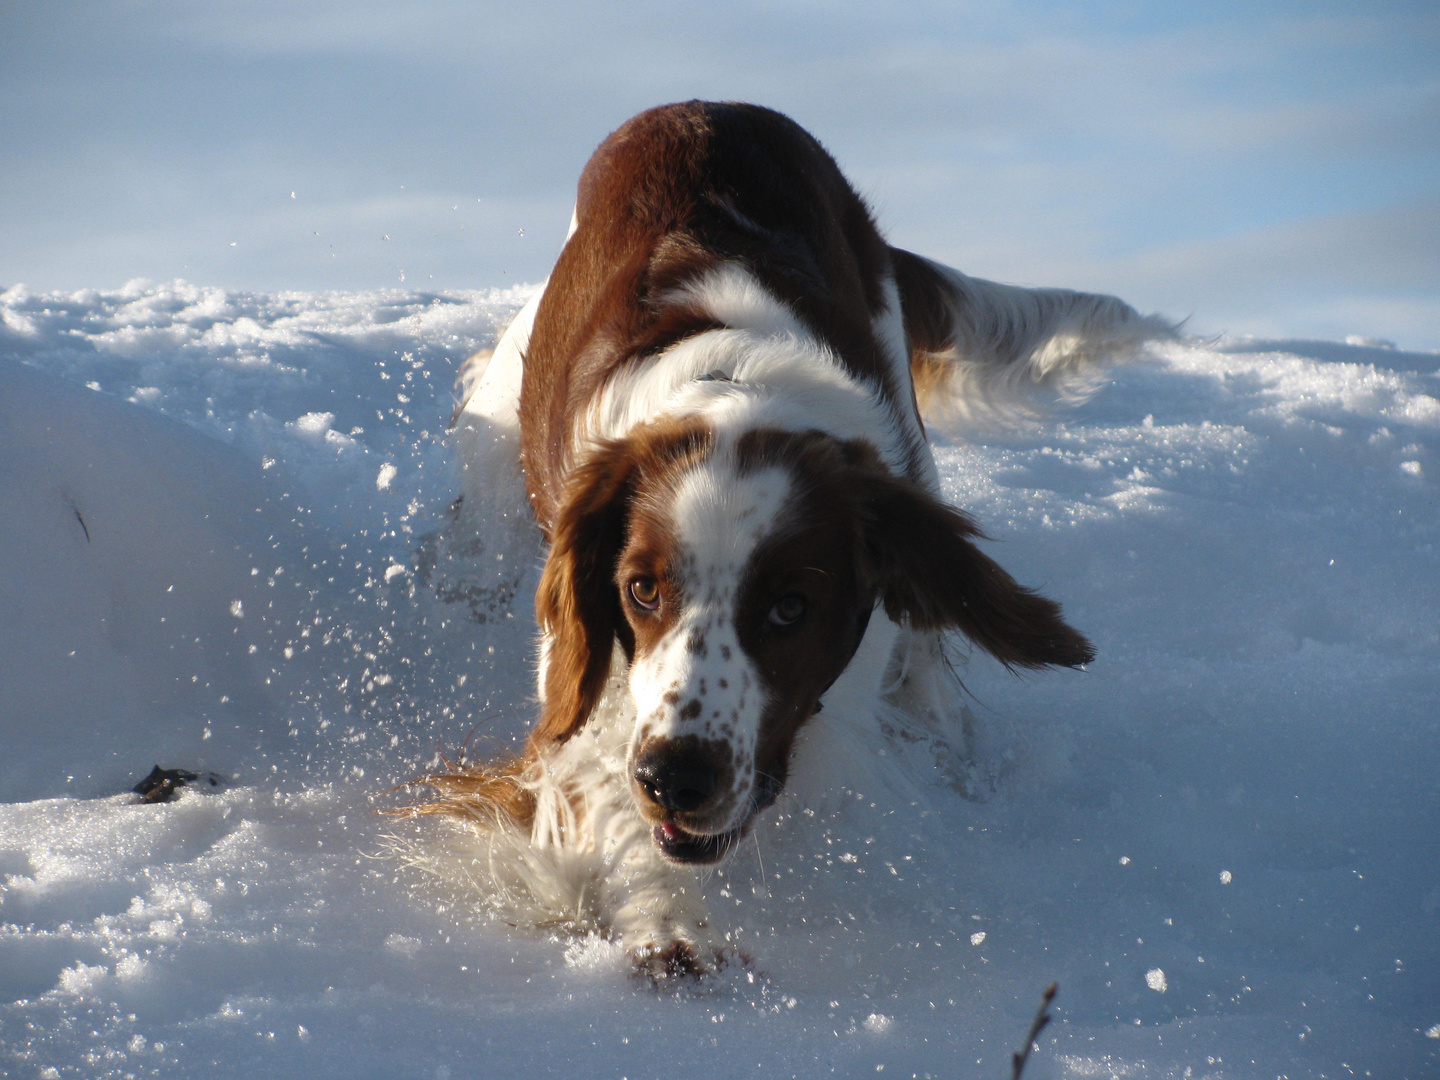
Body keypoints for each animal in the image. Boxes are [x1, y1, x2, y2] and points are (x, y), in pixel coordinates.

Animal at [408, 101, 1169, 979]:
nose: (676, 779)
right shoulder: (591, 695)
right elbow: (603, 797)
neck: (737, 391)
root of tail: (703, 106)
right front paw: (667, 922)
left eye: (790, 606)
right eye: (641, 589)